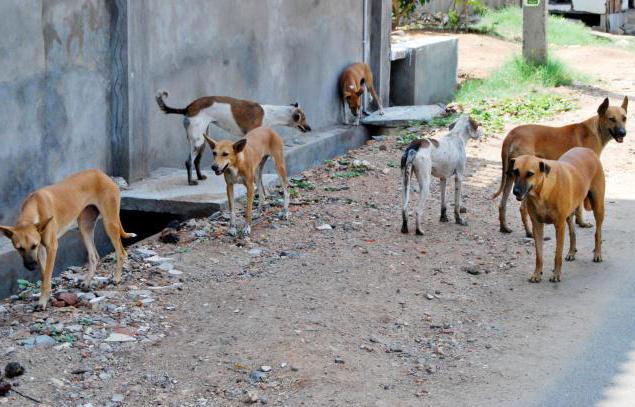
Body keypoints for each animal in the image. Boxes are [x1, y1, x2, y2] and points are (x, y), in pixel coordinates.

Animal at [0, 169, 135, 310]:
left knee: (121, 252)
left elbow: (47, 275)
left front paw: (42, 302)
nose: (31, 266)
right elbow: (44, 275)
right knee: (94, 256)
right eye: (19, 248)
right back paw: (87, 282)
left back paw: (117, 278)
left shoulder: (51, 247)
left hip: (109, 223)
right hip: (84, 227)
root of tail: (101, 173)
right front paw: (46, 296)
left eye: (33, 246)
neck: (35, 206)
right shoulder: (41, 250)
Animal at [157, 91, 310, 186]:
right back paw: (191, 182)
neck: (270, 113)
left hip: (203, 140)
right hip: (197, 141)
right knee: (189, 162)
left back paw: (200, 177)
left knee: (196, 161)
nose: (310, 129)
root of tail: (187, 108)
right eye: (304, 119)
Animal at [492, 96, 628, 236]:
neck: (595, 130)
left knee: (502, 205)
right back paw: (529, 232)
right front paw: (582, 222)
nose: (623, 133)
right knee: (522, 209)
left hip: (511, 177)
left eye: (624, 118)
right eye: (611, 119)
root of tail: (511, 134)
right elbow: (580, 206)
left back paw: (504, 227)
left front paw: (579, 221)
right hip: (524, 183)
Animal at [512, 148, 608, 286]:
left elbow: (557, 254)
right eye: (515, 171)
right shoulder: (537, 225)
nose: (516, 191)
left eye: (530, 174)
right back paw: (571, 252)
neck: (543, 192)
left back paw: (597, 254)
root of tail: (587, 150)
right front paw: (537, 274)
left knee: (598, 232)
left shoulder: (559, 226)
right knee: (573, 232)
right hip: (569, 213)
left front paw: (556, 275)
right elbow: (539, 255)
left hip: (598, 206)